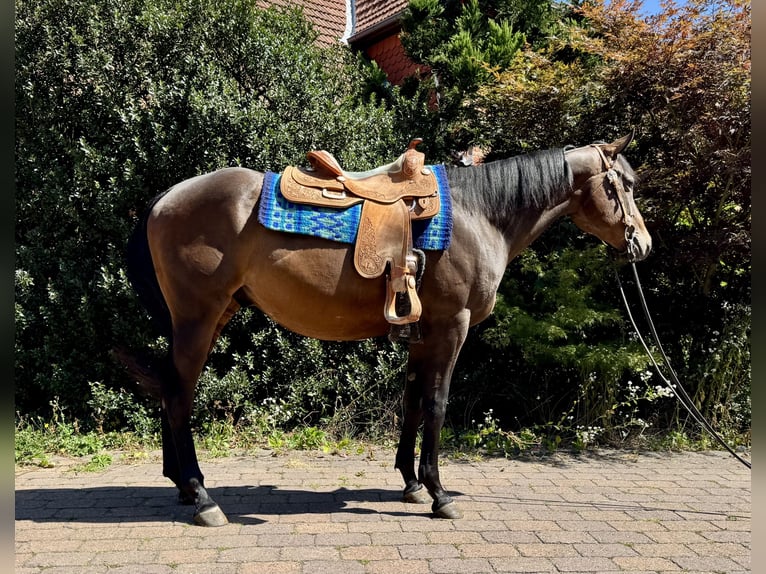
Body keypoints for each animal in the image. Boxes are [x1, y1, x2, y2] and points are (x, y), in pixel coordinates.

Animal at [117, 132, 652, 526]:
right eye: (624, 185)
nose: (643, 245)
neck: (479, 215)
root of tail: (165, 198)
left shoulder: (422, 331)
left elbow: (412, 401)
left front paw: (412, 483)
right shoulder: (451, 327)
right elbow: (437, 406)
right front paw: (439, 493)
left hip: (210, 316)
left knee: (171, 390)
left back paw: (182, 485)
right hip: (198, 318)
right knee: (179, 396)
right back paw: (202, 496)